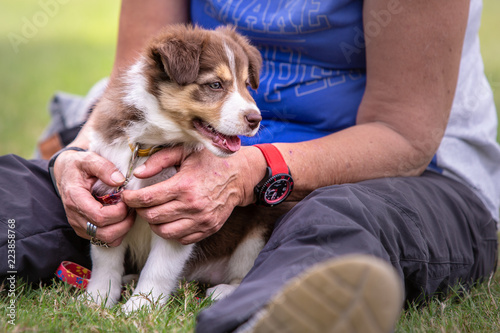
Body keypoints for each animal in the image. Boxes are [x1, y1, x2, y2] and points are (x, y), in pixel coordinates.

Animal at [84, 25, 270, 312]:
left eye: (246, 85)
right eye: (215, 85)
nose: (256, 119)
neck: (147, 145)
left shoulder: (180, 215)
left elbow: (159, 267)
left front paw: (140, 306)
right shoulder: (107, 194)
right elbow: (105, 258)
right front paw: (96, 299)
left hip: (259, 228)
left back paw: (224, 292)